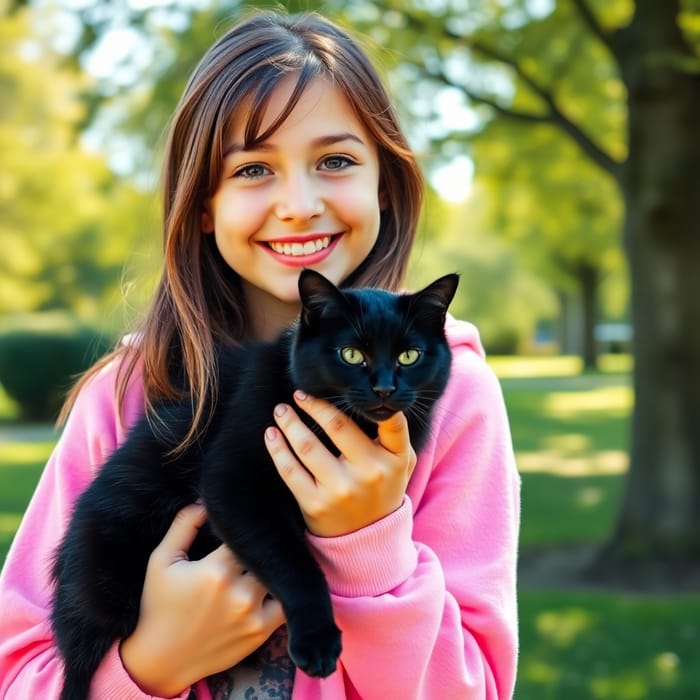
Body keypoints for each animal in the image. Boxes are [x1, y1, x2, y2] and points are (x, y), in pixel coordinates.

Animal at [53, 270, 460, 700]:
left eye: (409, 356)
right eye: (351, 354)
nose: (384, 388)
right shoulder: (233, 483)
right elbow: (292, 561)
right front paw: (317, 641)